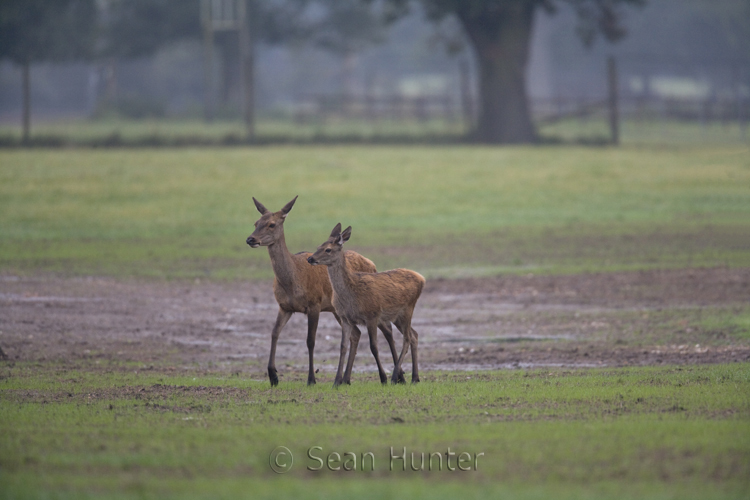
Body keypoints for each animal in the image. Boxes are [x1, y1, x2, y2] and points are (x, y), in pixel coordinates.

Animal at [246, 196, 404, 386]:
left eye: (271, 224)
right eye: (256, 222)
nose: (250, 239)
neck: (293, 280)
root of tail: (372, 263)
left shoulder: (314, 304)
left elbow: (310, 340)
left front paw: (311, 379)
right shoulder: (284, 306)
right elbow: (274, 333)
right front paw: (273, 376)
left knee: (388, 331)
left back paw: (400, 376)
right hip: (339, 311)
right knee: (356, 334)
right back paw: (346, 379)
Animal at [307, 223, 425, 387]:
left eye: (328, 249)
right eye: (319, 246)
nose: (310, 258)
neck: (351, 296)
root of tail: (422, 278)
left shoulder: (372, 315)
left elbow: (373, 347)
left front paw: (383, 378)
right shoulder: (345, 318)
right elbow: (343, 347)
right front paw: (337, 381)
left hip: (408, 308)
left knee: (407, 338)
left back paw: (395, 376)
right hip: (397, 316)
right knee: (414, 335)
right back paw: (415, 378)